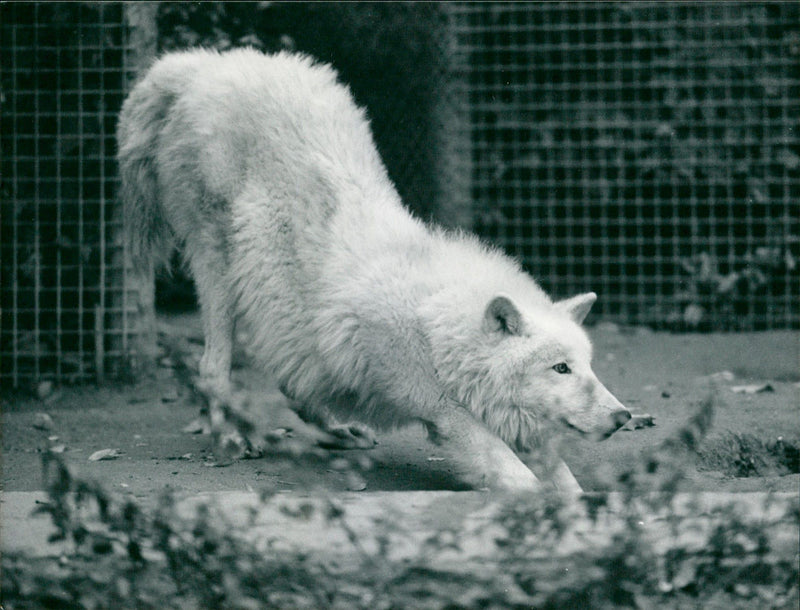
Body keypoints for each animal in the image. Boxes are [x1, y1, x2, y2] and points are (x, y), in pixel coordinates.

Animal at [117, 48, 631, 492]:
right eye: (560, 368)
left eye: (587, 365)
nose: (624, 417)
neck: (438, 329)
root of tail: (203, 63)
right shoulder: (443, 411)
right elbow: (521, 478)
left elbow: (565, 481)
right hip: (218, 267)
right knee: (212, 365)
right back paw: (231, 435)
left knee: (293, 380)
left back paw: (338, 431)